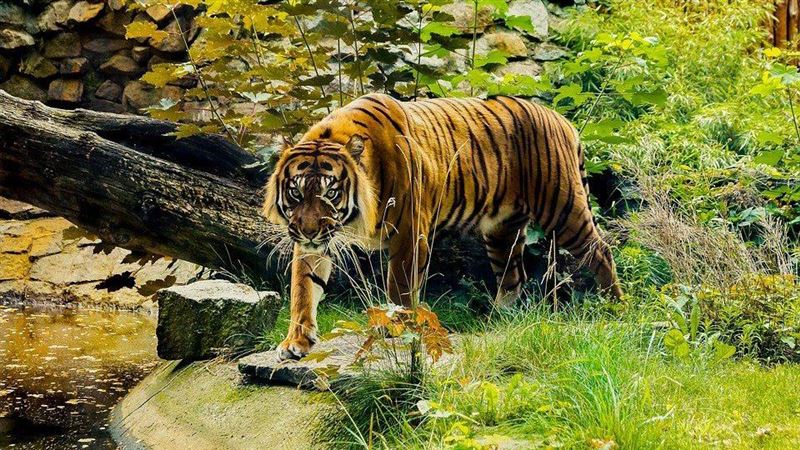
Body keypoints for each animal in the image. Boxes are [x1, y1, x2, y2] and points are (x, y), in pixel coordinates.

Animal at [263, 93, 623, 360]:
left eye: (330, 192)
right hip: (501, 230)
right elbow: (303, 288)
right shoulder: (315, 241)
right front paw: (296, 341)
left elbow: (399, 286)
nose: (308, 230)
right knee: (513, 276)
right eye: (296, 193)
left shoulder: (409, 234)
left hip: (561, 207)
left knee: (600, 251)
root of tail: (562, 119)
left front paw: (396, 326)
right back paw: (498, 320)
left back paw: (615, 307)